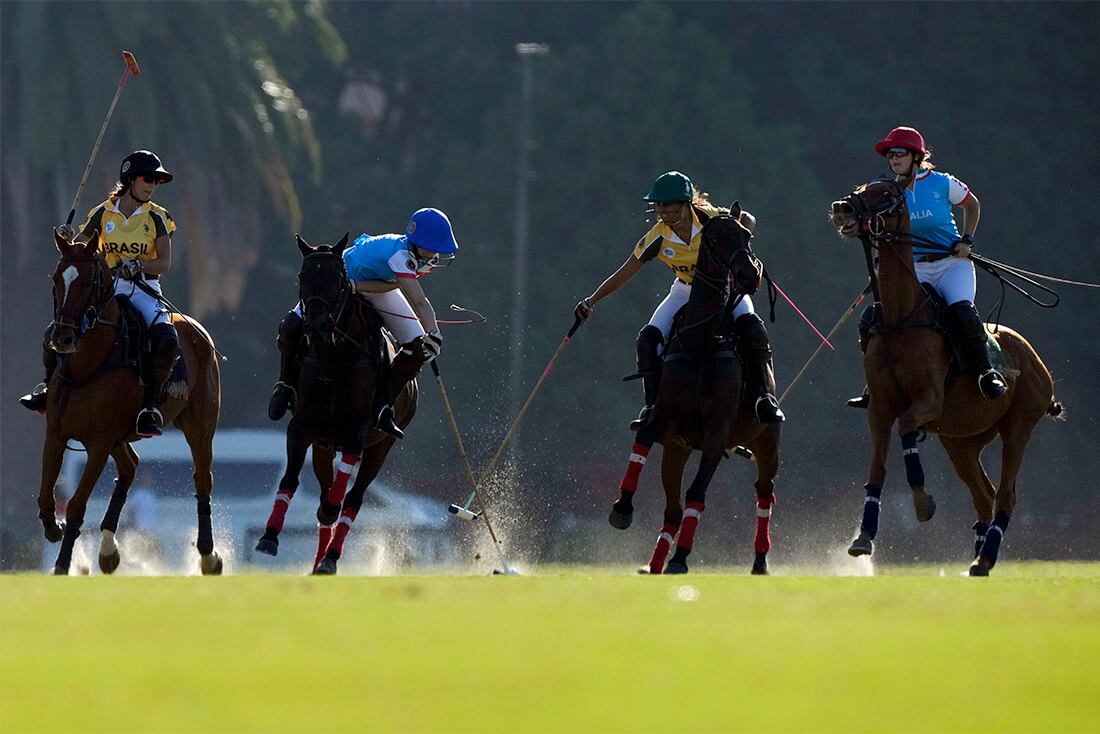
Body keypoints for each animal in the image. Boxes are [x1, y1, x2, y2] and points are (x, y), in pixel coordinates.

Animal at [37, 227, 221, 572]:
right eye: (56, 278)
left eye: (87, 282)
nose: (62, 339)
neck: (87, 366)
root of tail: (198, 329)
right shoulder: (56, 432)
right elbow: (45, 496)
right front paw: (53, 529)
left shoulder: (98, 442)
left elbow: (77, 506)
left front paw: (62, 564)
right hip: (120, 437)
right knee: (130, 467)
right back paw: (109, 550)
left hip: (200, 426)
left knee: (203, 478)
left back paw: (208, 556)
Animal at [251, 234, 420, 572]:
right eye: (303, 276)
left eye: (338, 280)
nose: (315, 326)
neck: (333, 359)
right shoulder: (302, 428)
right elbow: (290, 480)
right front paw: (269, 536)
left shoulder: (357, 432)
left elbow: (338, 499)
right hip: (324, 446)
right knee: (326, 496)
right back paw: (319, 561)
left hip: (379, 446)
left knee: (353, 499)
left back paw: (330, 557)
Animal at [611, 203, 783, 576]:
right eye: (714, 238)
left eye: (746, 235)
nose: (749, 276)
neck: (702, 342)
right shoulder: (665, 420)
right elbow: (643, 438)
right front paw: (622, 508)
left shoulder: (718, 432)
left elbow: (697, 494)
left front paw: (681, 558)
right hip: (677, 450)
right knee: (672, 510)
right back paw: (654, 563)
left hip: (767, 442)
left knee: (765, 493)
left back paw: (760, 561)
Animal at [836, 180, 1060, 576]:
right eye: (862, 187)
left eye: (885, 194)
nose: (841, 208)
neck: (901, 316)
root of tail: (1035, 359)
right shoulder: (879, 408)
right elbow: (877, 467)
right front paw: (863, 537)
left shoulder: (929, 399)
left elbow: (907, 427)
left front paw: (923, 503)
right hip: (962, 440)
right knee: (984, 496)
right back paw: (979, 556)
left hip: (1018, 426)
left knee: (1006, 495)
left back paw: (984, 559)